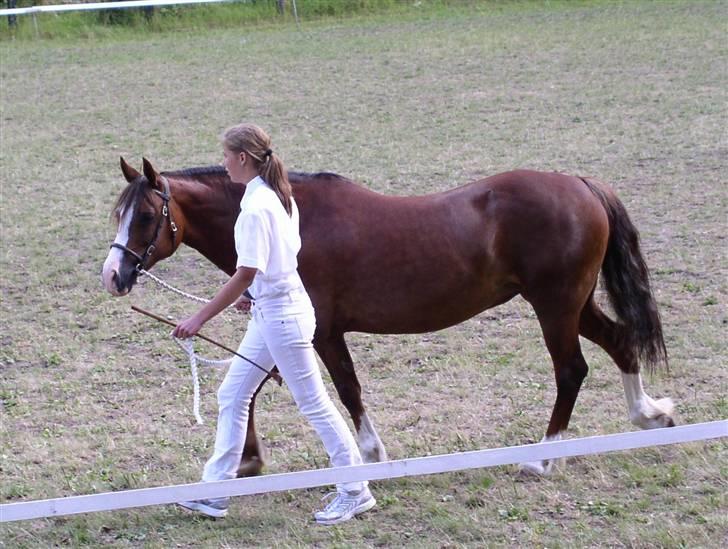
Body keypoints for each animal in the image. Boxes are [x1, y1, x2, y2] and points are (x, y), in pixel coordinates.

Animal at [104, 157, 676, 476]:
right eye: (118, 213)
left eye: (148, 216)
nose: (114, 274)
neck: (288, 220)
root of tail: (580, 184)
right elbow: (250, 386)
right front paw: (247, 460)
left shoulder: (321, 333)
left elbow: (346, 389)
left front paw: (370, 454)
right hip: (573, 304)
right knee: (621, 343)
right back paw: (650, 414)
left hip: (555, 307)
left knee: (571, 371)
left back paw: (543, 457)